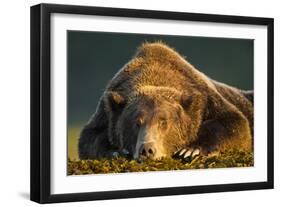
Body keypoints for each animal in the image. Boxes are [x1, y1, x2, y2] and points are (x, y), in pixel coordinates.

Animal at [77, 42, 253, 162]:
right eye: (137, 122)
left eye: (163, 122)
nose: (147, 150)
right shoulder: (106, 111)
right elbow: (90, 138)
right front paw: (117, 151)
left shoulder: (207, 98)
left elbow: (235, 124)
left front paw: (190, 150)